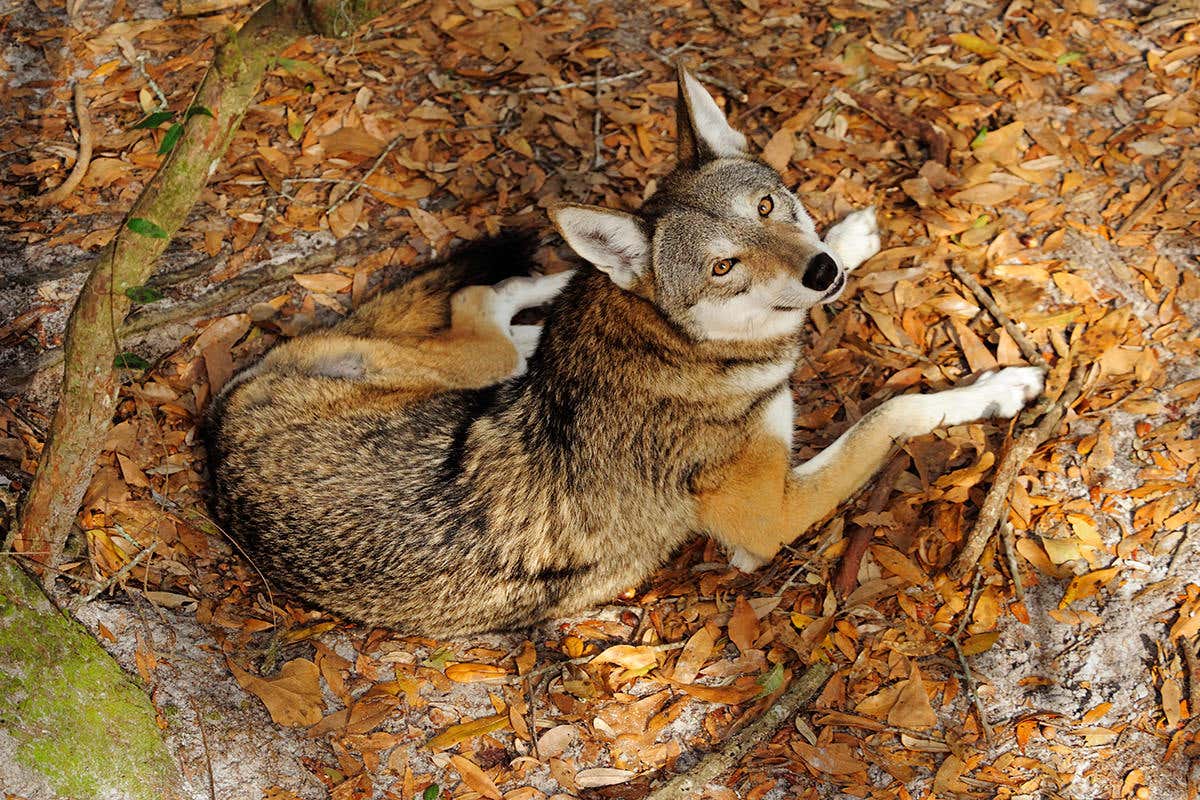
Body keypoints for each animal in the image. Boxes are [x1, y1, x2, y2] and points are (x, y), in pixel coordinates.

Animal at [205, 68, 1043, 638]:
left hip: (483, 370)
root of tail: (216, 436)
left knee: (495, 312)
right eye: (723, 267)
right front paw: (997, 389)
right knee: (477, 302)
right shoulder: (765, 520)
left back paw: (561, 290)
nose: (818, 272)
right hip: (476, 367)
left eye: (767, 206)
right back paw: (555, 280)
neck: (684, 349)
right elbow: (893, 413)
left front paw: (850, 237)